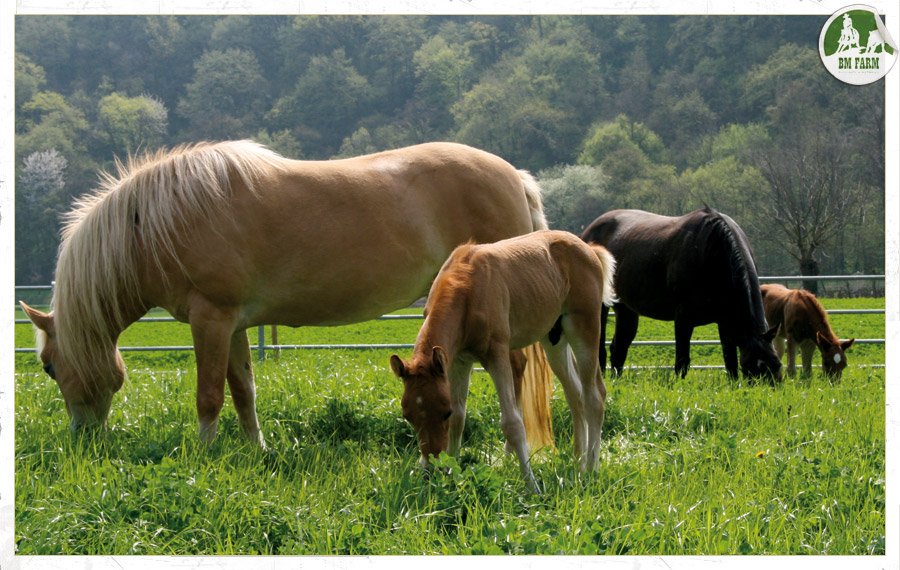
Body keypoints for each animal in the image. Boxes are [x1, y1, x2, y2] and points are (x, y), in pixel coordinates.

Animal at [20, 140, 556, 449]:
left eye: (48, 367)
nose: (83, 440)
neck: (158, 225)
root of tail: (516, 177)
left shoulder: (209, 320)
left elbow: (208, 396)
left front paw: (203, 458)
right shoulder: (231, 325)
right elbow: (242, 391)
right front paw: (255, 452)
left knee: (514, 369)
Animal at [389, 230, 617, 493]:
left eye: (443, 412)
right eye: (408, 416)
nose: (431, 469)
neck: (467, 288)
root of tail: (589, 249)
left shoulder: (497, 355)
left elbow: (512, 423)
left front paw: (532, 487)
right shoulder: (458, 361)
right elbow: (460, 418)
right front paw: (452, 477)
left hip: (584, 330)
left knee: (594, 396)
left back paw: (591, 469)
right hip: (554, 340)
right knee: (575, 395)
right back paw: (578, 464)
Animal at [581, 207, 782, 382]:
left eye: (777, 364)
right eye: (755, 367)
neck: (712, 251)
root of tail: (588, 232)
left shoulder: (725, 321)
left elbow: (730, 360)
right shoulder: (683, 318)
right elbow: (682, 361)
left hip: (626, 309)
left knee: (619, 348)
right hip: (601, 307)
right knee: (600, 350)